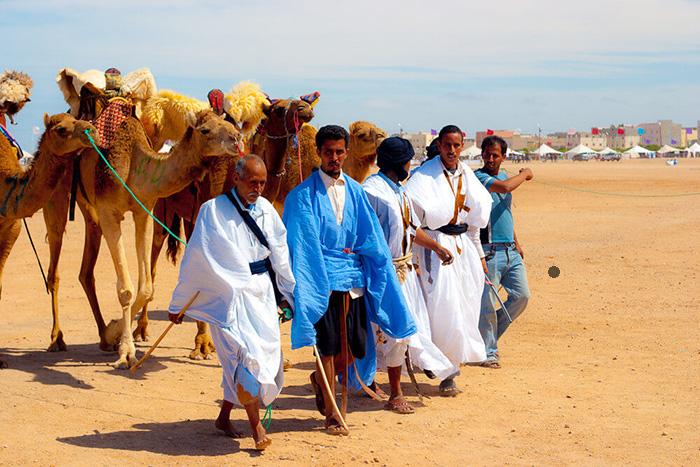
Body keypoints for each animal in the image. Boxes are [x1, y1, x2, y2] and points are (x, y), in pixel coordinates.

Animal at [43, 110, 242, 370]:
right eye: (205, 130)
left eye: (229, 123)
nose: (236, 139)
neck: (136, 165)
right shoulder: (109, 213)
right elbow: (126, 289)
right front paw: (126, 352)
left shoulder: (143, 211)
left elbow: (146, 287)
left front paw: (114, 332)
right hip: (57, 194)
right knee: (54, 268)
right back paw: (57, 339)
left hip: (90, 212)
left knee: (86, 271)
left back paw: (103, 336)